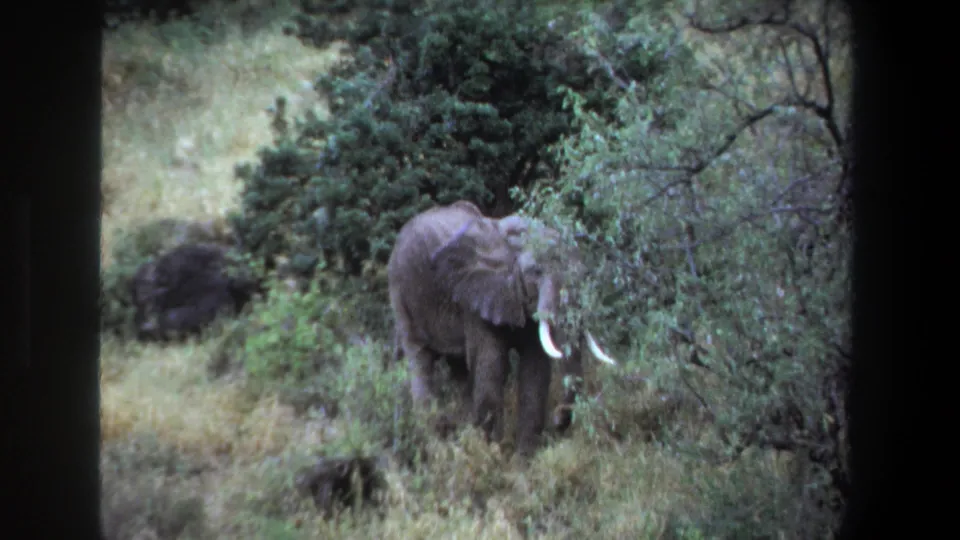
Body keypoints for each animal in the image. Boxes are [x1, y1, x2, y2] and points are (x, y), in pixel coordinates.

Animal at [387, 200, 617, 456]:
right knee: (420, 360)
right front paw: (493, 455)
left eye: (582, 271)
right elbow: (492, 365)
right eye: (536, 271)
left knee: (460, 369)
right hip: (402, 292)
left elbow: (535, 371)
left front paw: (523, 461)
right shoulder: (475, 297)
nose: (558, 419)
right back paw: (435, 447)